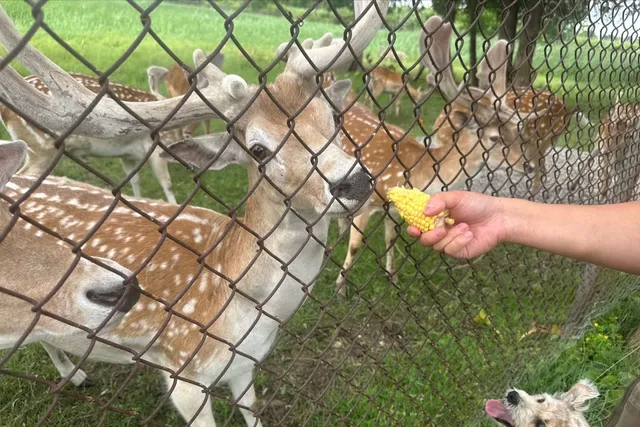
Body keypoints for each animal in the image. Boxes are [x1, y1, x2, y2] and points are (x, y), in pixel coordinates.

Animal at [0, 74, 182, 204]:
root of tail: (4, 110)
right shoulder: (157, 149)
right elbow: (167, 183)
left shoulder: (127, 155)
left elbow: (134, 180)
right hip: (42, 148)